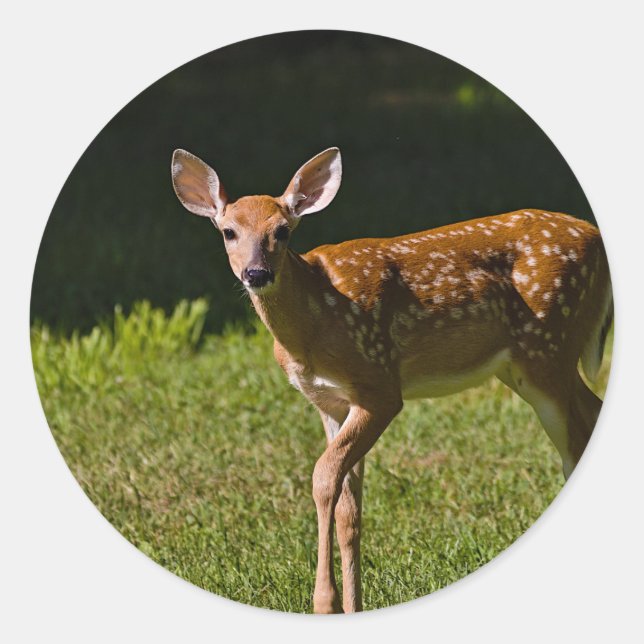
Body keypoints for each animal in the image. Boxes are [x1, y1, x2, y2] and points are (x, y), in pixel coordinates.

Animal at [171, 147, 613, 614]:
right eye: (229, 232)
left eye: (283, 231)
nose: (256, 274)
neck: (314, 325)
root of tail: (595, 238)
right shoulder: (330, 402)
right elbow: (349, 507)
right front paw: (351, 606)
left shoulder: (378, 384)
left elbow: (323, 477)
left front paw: (324, 602)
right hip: (527, 366)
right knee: (590, 415)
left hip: (547, 346)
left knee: (575, 440)